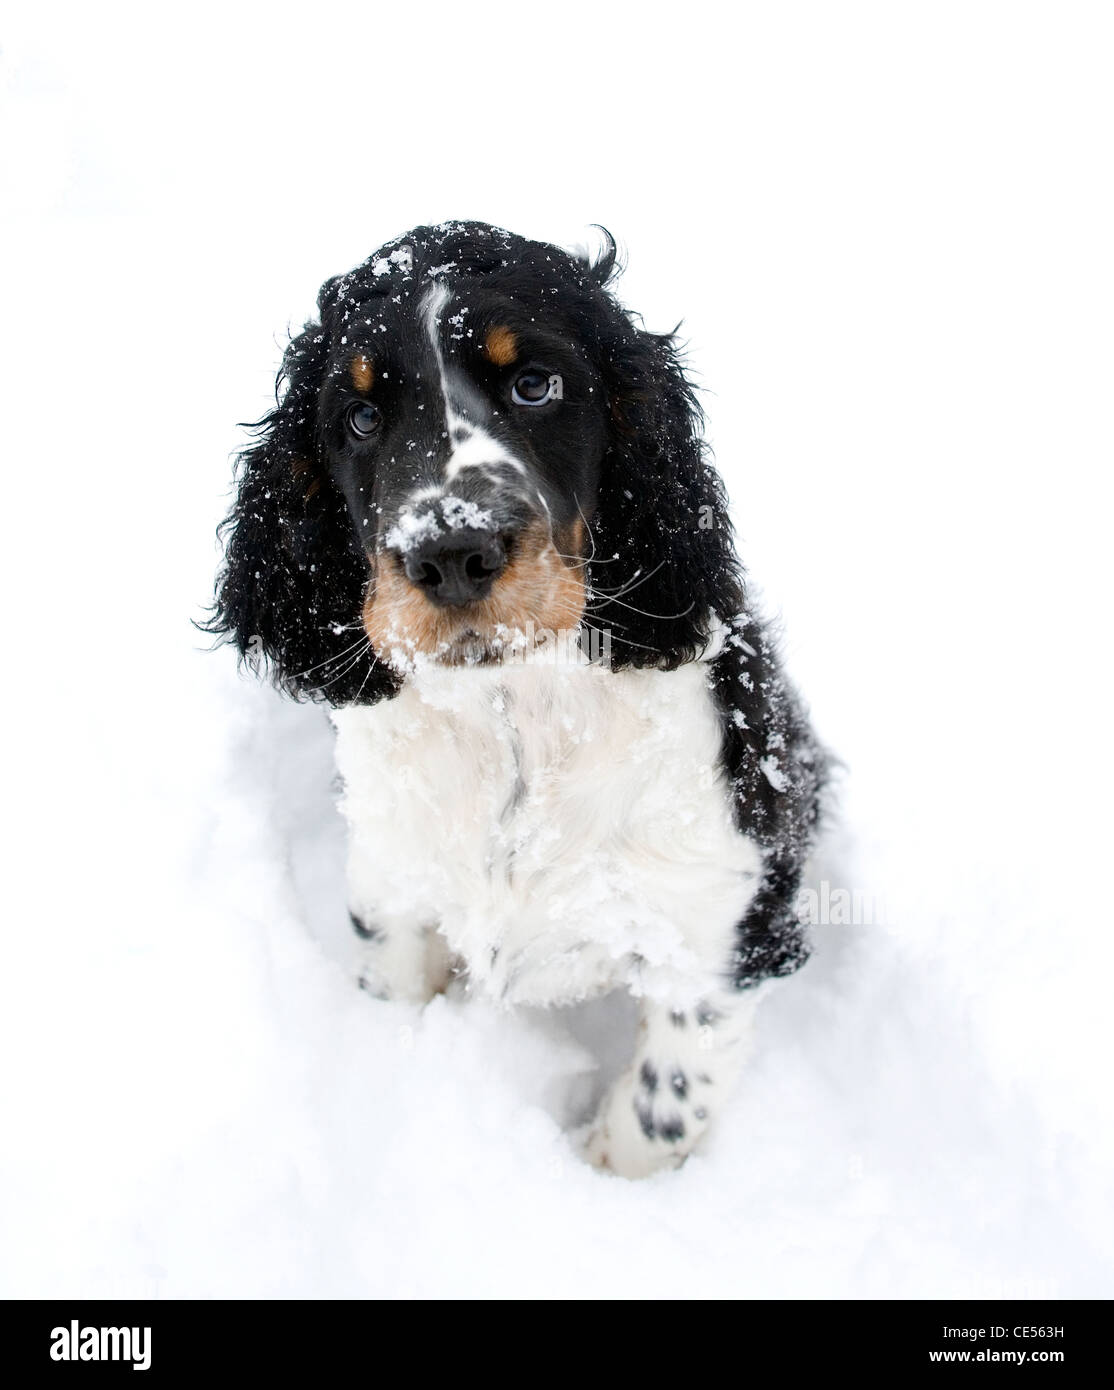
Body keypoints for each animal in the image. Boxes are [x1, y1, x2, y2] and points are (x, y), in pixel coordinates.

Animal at [205, 222, 823, 1178]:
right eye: (360, 418)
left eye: (536, 385)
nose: (451, 553)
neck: (517, 718)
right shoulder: (390, 880)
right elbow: (392, 982)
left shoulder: (715, 929)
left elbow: (664, 1104)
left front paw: (612, 1175)